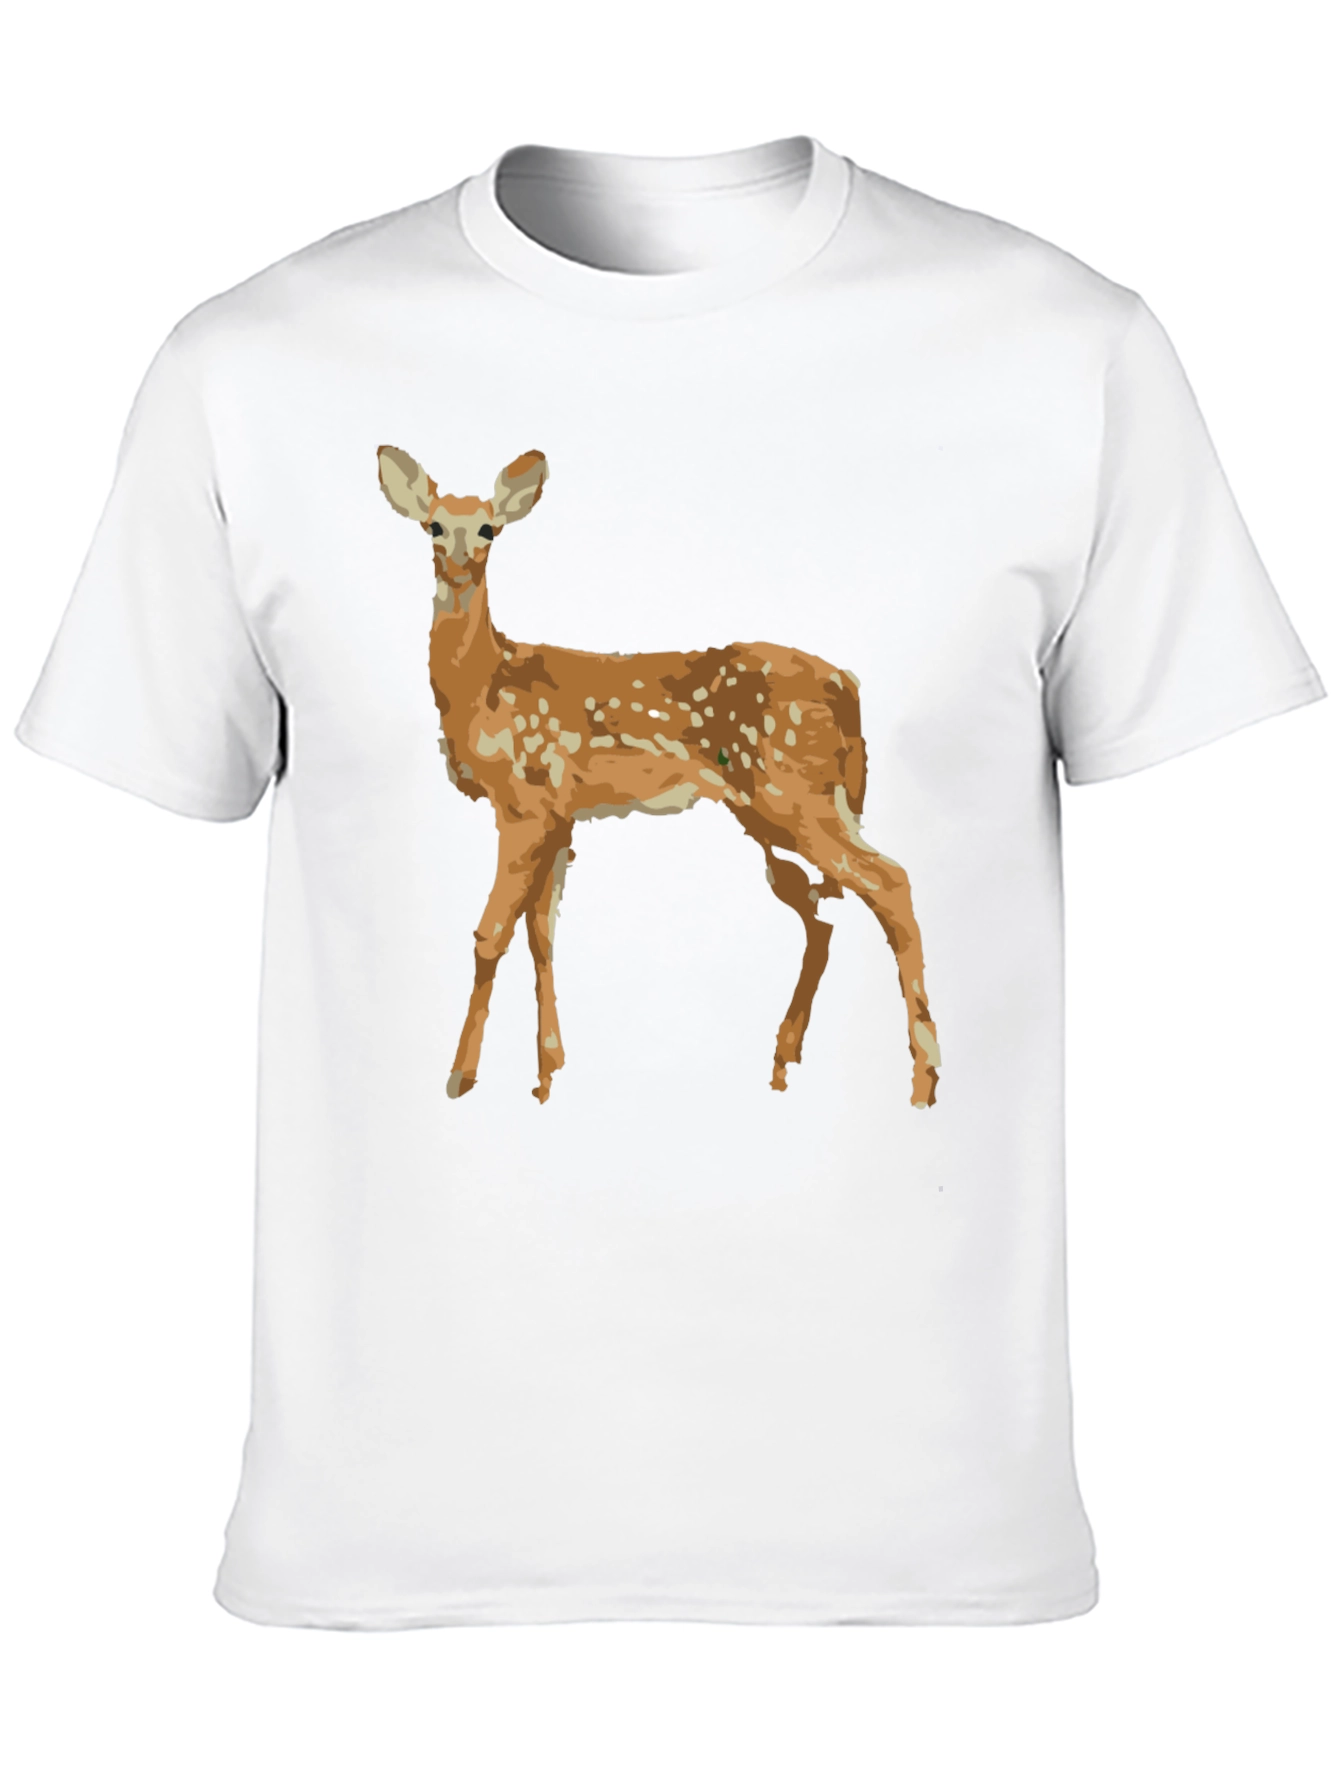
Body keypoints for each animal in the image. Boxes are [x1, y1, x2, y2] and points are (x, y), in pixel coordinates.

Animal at [377, 445, 940, 1109]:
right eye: (433, 526)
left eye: (489, 528)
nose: (460, 566)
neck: (484, 687)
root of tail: (846, 685)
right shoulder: (560, 814)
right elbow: (542, 932)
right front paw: (547, 1073)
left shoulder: (524, 801)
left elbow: (490, 934)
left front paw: (461, 1077)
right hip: (768, 810)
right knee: (822, 915)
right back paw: (784, 1061)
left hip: (793, 791)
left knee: (890, 883)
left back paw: (923, 1081)